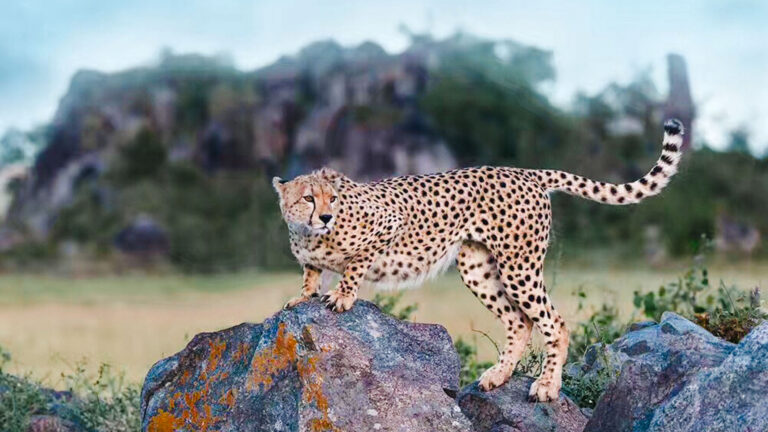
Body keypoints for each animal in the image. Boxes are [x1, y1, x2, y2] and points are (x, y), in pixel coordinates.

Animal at [273, 119, 684, 402]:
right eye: (309, 198)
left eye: (331, 199)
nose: (326, 216)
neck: (309, 232)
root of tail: (526, 171)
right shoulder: (313, 256)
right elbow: (310, 273)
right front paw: (302, 296)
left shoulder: (391, 223)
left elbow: (356, 264)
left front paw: (343, 296)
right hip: (478, 268)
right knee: (519, 321)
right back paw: (497, 376)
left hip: (519, 266)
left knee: (554, 322)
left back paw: (546, 386)